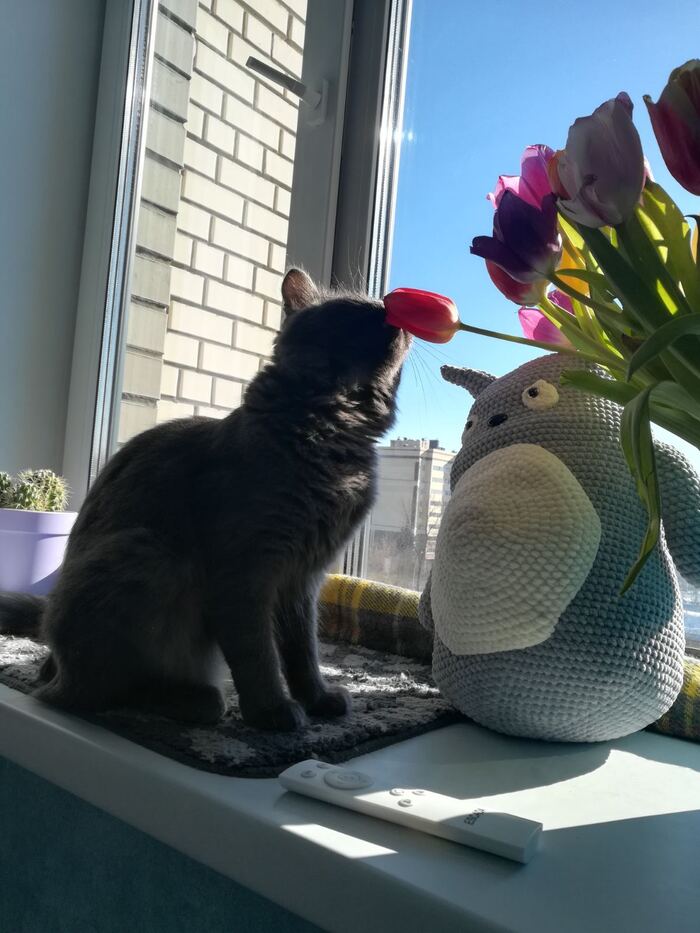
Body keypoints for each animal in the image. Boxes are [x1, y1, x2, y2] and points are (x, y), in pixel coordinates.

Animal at [0, 269, 410, 730]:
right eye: (356, 309)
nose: (393, 311)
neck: (330, 438)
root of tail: (51, 645)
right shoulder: (244, 573)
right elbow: (258, 654)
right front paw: (273, 712)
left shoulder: (302, 580)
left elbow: (303, 653)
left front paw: (318, 699)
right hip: (151, 554)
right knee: (89, 691)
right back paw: (197, 701)